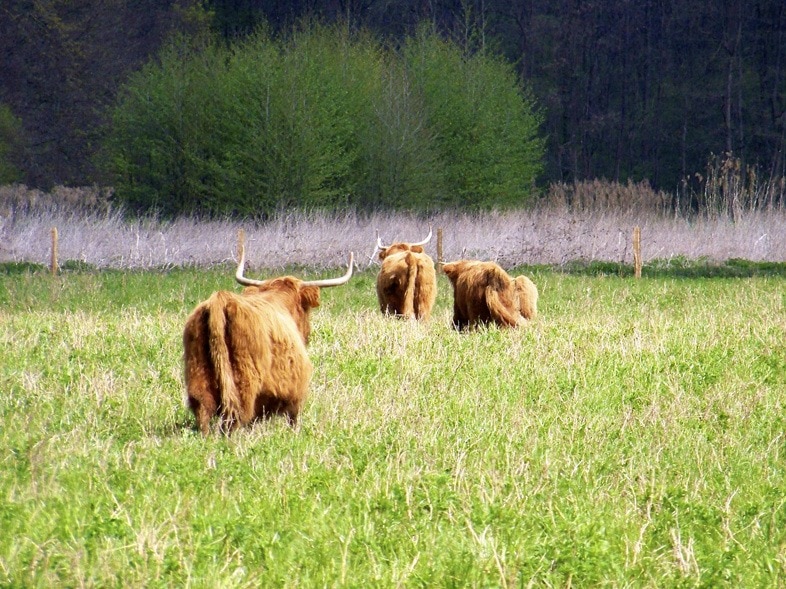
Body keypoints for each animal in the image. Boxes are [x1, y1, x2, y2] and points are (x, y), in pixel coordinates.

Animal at [182, 246, 354, 434]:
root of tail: (222, 300)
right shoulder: (296, 390)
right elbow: (293, 418)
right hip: (244, 380)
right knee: (236, 415)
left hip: (197, 370)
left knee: (202, 408)